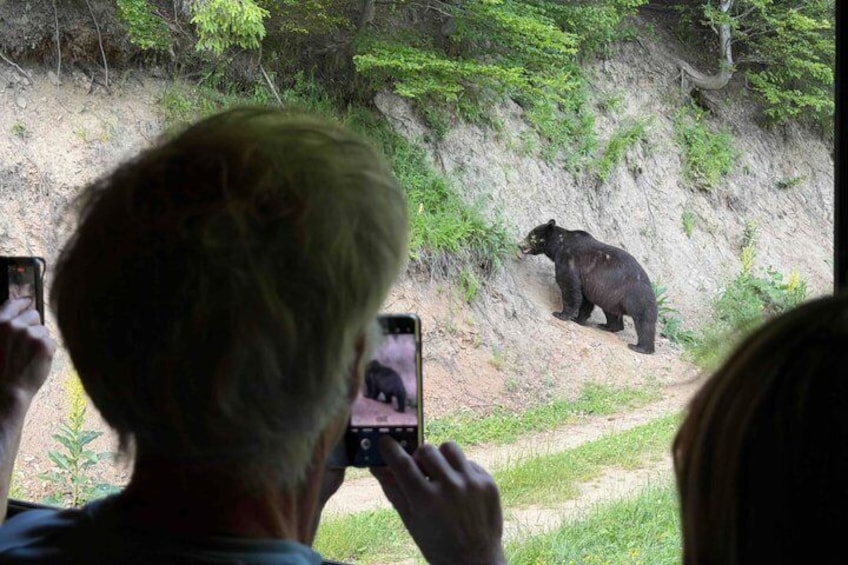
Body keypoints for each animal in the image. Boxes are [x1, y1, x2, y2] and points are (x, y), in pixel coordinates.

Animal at [519, 219, 657, 354]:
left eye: (531, 235)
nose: (520, 245)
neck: (559, 244)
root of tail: (650, 285)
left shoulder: (568, 261)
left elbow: (569, 287)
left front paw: (561, 314)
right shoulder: (587, 282)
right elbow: (585, 300)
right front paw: (578, 319)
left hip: (635, 296)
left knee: (644, 321)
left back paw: (641, 347)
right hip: (612, 298)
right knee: (612, 313)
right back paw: (607, 326)